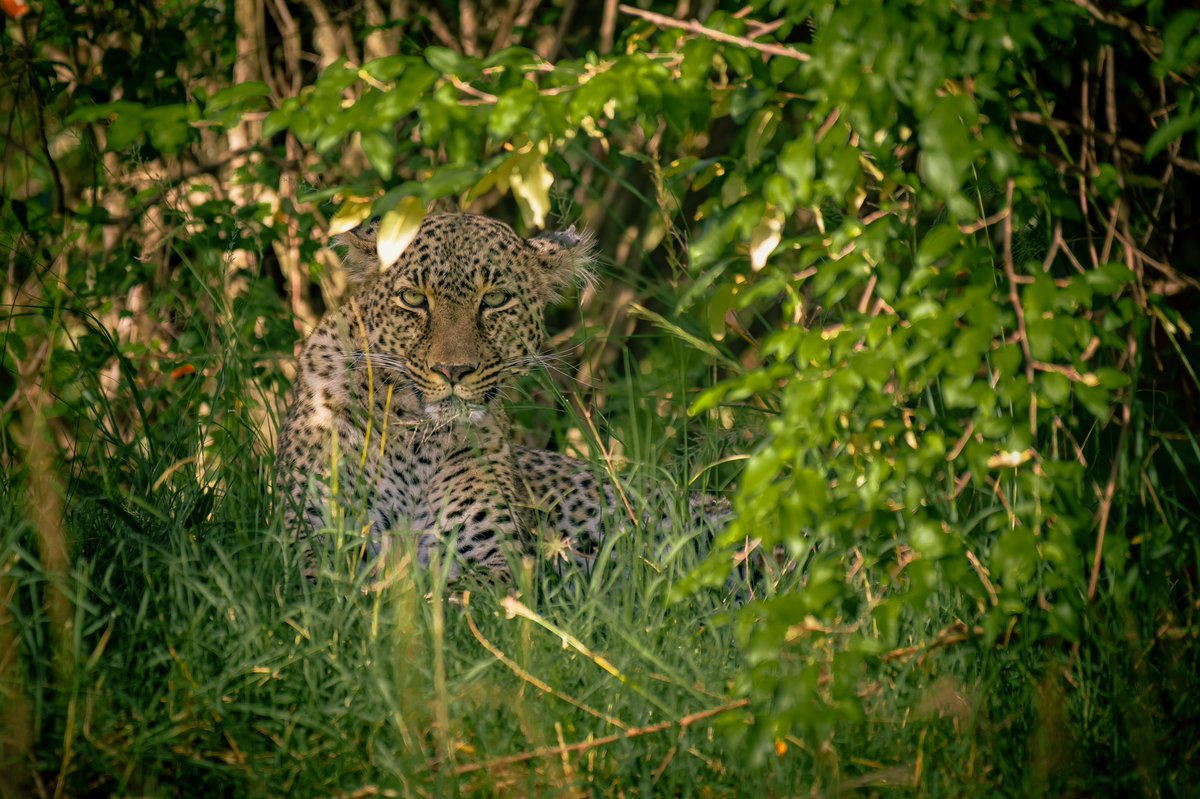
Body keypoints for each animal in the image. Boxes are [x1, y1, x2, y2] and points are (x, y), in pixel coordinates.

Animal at [274, 212, 729, 584]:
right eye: (414, 299)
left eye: (494, 300)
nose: (453, 370)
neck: (414, 440)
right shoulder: (307, 537)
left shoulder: (488, 557)